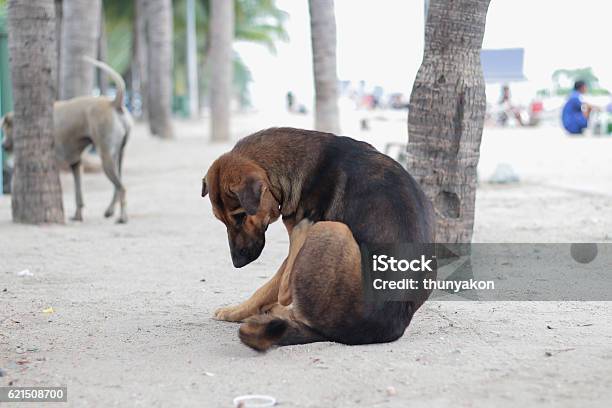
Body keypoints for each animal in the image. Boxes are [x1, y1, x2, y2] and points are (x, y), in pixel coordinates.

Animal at [2, 56, 132, 223]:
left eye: (5, 130)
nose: (3, 145)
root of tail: (113, 103)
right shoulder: (76, 164)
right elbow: (78, 193)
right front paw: (78, 215)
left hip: (106, 157)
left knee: (122, 188)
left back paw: (122, 217)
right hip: (118, 156)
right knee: (118, 185)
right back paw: (110, 211)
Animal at [203, 127, 432, 350]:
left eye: (241, 216)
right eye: (221, 220)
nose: (237, 262)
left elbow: (268, 288)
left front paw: (234, 311)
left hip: (330, 228)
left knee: (286, 292)